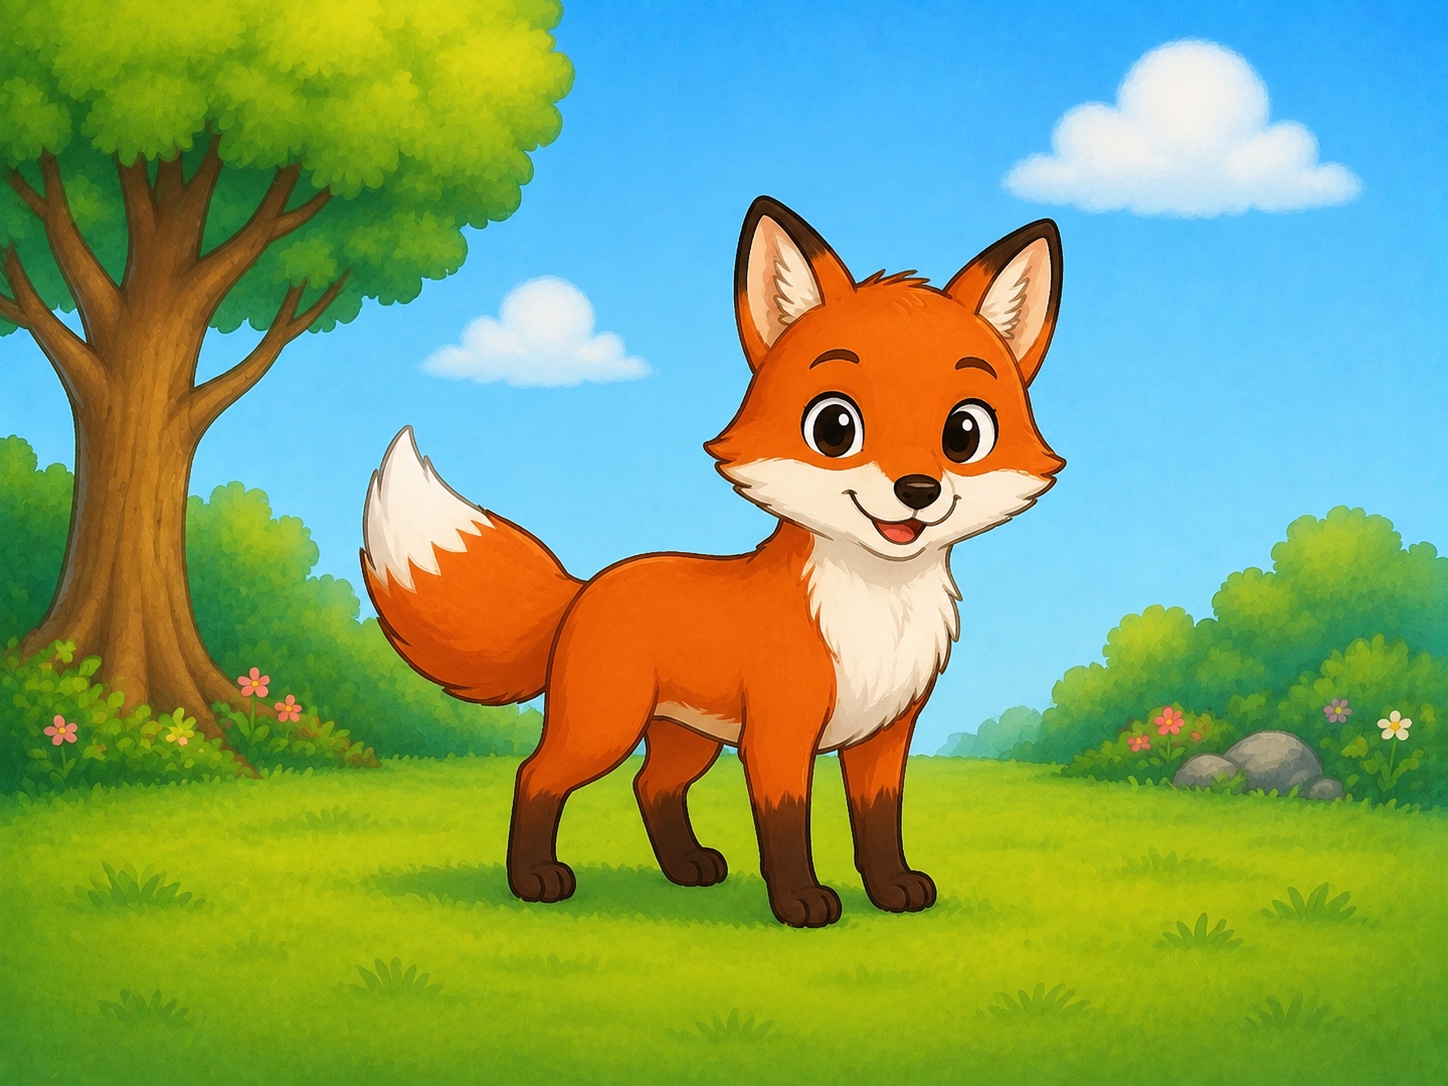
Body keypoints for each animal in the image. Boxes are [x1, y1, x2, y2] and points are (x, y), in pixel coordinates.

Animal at [360, 197, 1065, 927]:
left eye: (965, 432)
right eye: (834, 427)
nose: (918, 490)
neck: (876, 606)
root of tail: (588, 586)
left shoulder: (885, 734)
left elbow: (879, 823)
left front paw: (892, 890)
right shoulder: (779, 734)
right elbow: (785, 824)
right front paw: (800, 902)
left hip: (685, 736)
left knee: (651, 786)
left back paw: (687, 868)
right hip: (604, 728)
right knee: (537, 776)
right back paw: (534, 878)